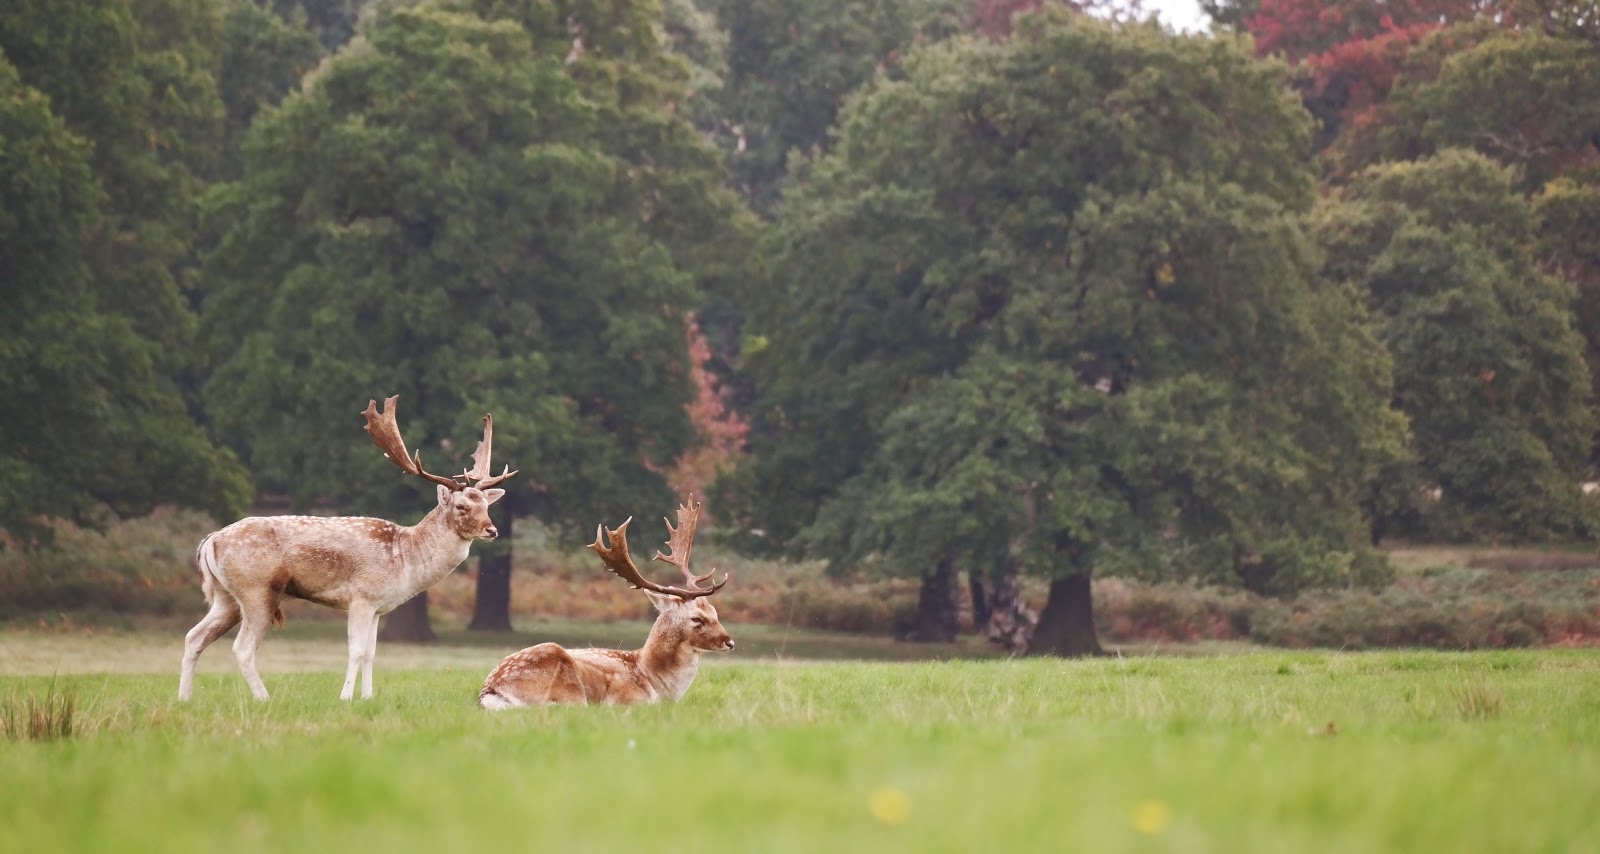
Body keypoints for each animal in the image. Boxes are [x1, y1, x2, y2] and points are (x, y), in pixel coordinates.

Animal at [183, 396, 518, 703]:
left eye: (487, 505)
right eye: (461, 506)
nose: (492, 530)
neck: (404, 558)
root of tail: (210, 540)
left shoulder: (378, 607)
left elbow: (371, 653)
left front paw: (367, 698)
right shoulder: (361, 597)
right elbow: (356, 651)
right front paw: (345, 697)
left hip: (226, 597)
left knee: (194, 636)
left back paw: (184, 698)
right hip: (257, 590)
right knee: (241, 648)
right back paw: (264, 698)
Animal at [476, 502, 732, 710]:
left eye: (715, 612)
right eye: (697, 618)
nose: (729, 642)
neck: (655, 681)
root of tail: (490, 692)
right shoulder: (629, 700)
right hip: (569, 690)